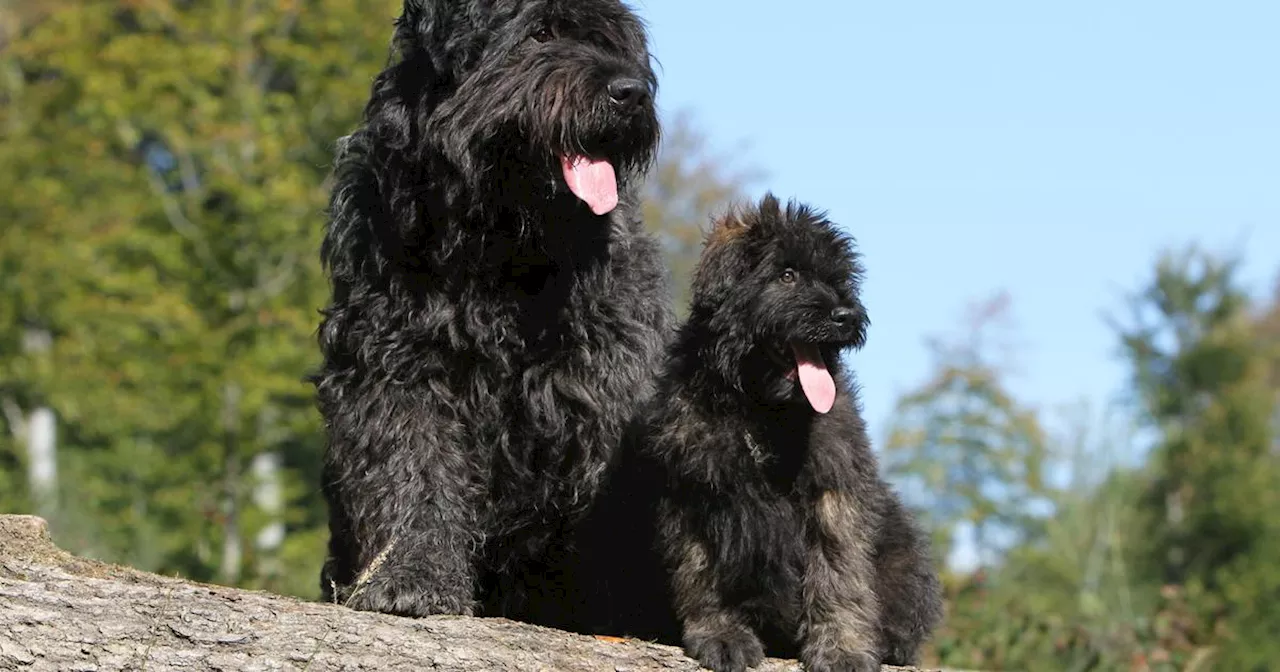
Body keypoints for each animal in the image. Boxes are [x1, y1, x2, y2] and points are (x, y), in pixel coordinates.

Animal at [313, 0, 665, 619]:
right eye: (540, 31)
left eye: (613, 40)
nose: (630, 93)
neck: (496, 246)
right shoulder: (395, 364)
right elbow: (412, 468)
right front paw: (414, 576)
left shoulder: (601, 383)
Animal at [578, 194, 942, 670]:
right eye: (787, 275)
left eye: (838, 279)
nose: (844, 315)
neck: (761, 412)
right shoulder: (695, 492)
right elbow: (702, 573)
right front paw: (722, 635)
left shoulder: (832, 489)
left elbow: (839, 570)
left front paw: (842, 646)